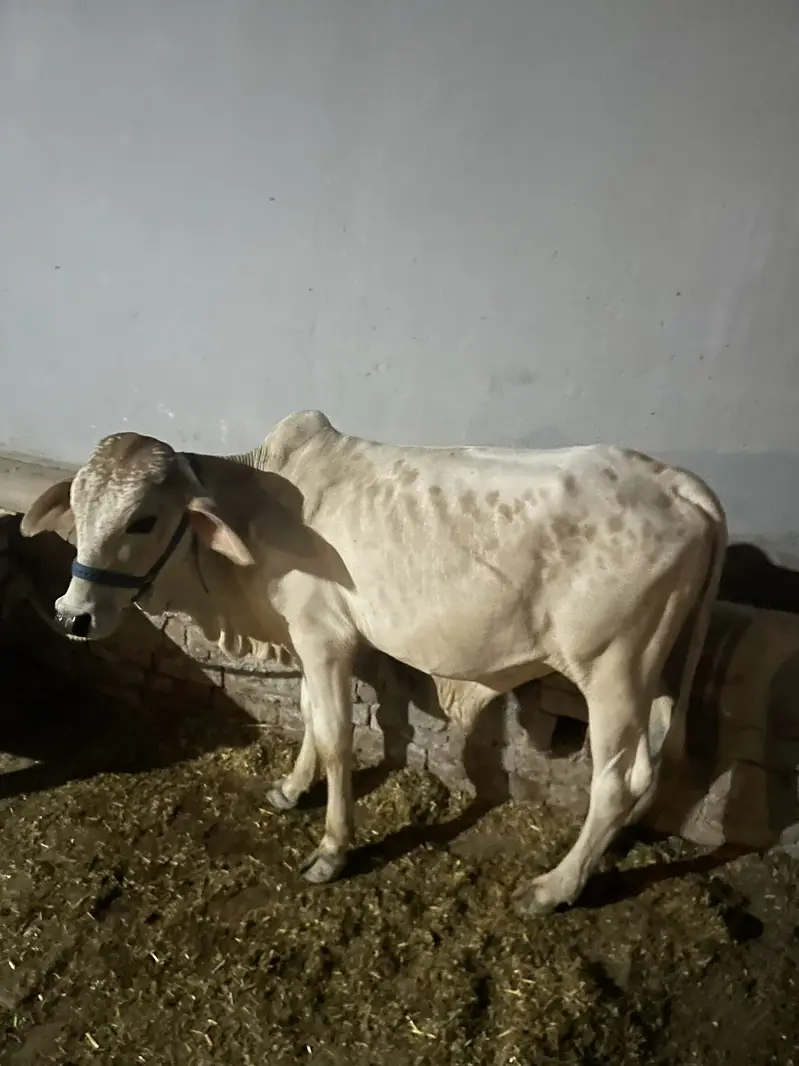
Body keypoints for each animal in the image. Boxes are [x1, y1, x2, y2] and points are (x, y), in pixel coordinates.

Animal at [20, 410, 727, 916]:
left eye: (143, 520)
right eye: (78, 508)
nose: (72, 614)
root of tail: (677, 483)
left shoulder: (323, 637)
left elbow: (337, 738)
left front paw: (332, 850)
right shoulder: (304, 639)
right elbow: (309, 714)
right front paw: (289, 789)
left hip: (610, 671)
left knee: (613, 781)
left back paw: (555, 887)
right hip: (654, 671)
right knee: (650, 759)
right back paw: (612, 849)